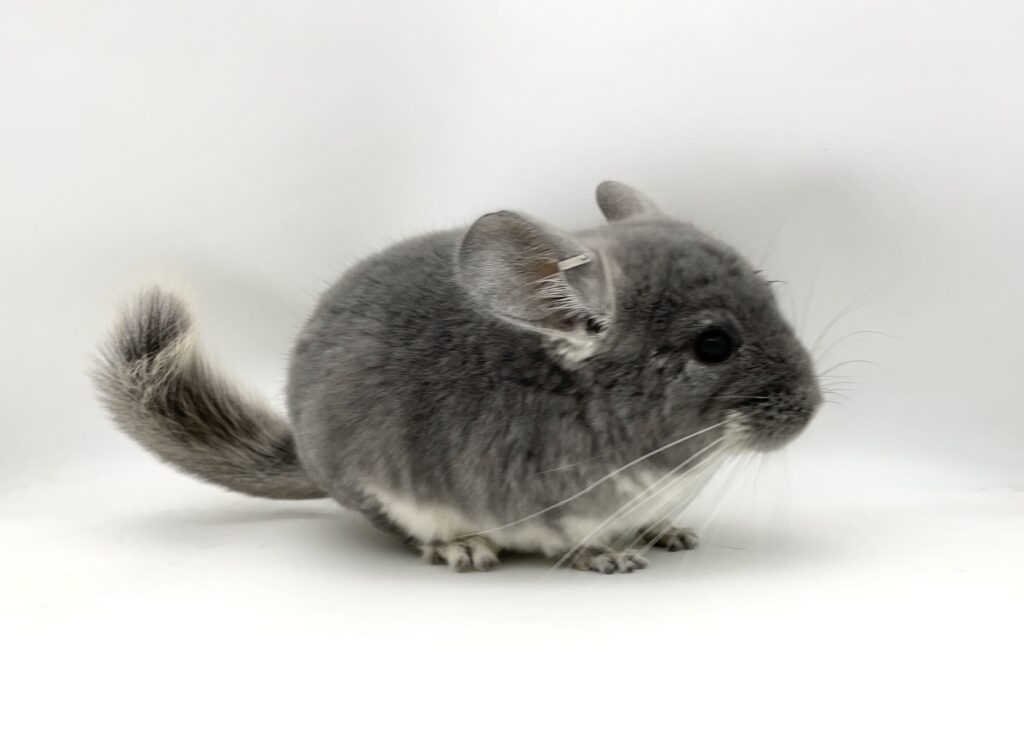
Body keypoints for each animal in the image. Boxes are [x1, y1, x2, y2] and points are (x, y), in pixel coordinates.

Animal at [94, 181, 821, 574]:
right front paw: (610, 559)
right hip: (385, 489)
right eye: (714, 344)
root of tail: (306, 447)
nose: (812, 407)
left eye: (772, 294)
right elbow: (578, 541)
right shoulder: (551, 501)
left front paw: (668, 533)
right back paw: (464, 551)